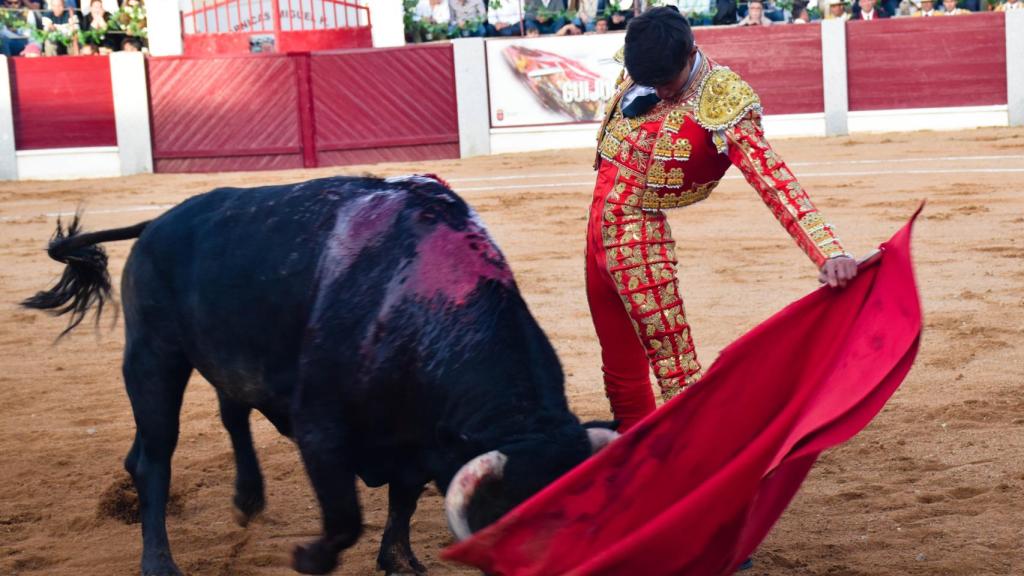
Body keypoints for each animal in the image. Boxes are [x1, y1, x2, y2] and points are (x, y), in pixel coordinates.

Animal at [24, 174, 614, 573]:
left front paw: (399, 562)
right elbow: (346, 517)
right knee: (156, 456)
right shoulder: (321, 430)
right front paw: (308, 558)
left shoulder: (419, 440)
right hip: (153, 356)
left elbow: (401, 500)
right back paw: (159, 561)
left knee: (225, 415)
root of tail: (159, 222)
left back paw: (247, 499)